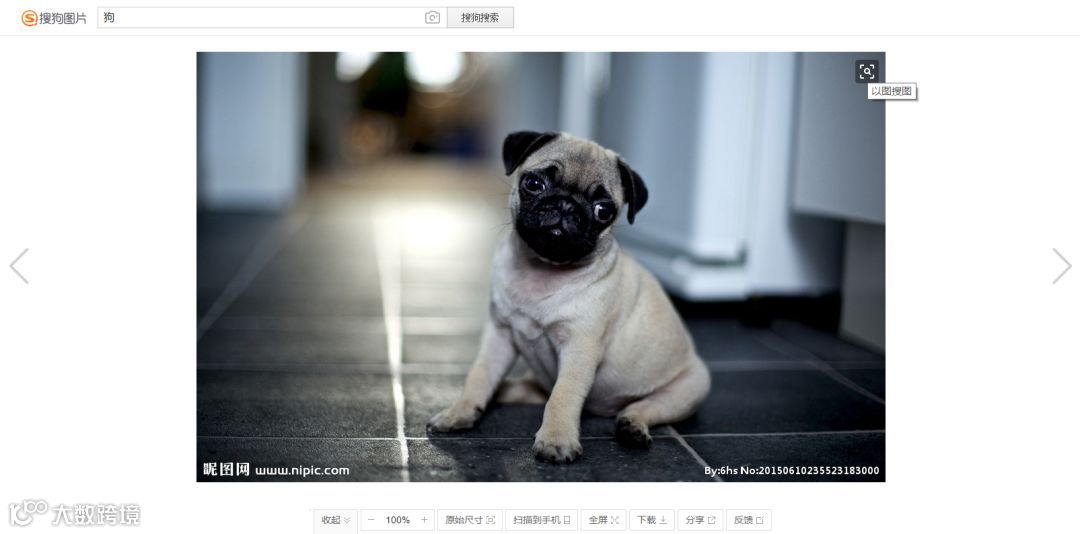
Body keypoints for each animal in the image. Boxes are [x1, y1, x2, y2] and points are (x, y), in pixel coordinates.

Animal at [427, 131, 710, 463]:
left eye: (603, 210)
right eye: (534, 183)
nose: (565, 205)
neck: (542, 268)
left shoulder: (579, 348)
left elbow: (563, 395)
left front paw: (556, 440)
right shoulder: (499, 335)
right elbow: (479, 375)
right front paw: (459, 412)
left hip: (688, 390)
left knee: (643, 407)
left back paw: (632, 427)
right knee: (527, 389)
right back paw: (499, 393)